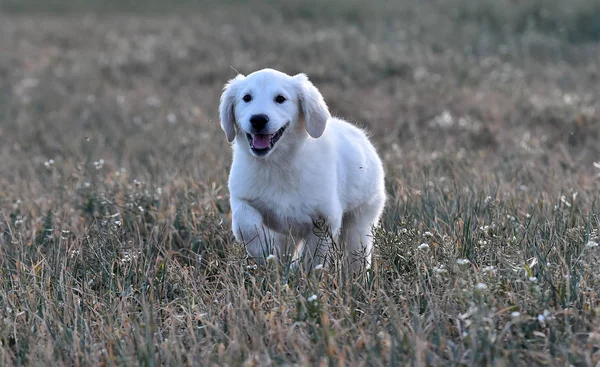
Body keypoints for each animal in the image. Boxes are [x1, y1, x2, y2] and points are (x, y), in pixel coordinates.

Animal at [219, 68, 384, 274]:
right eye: (246, 98)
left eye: (280, 98)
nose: (258, 119)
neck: (277, 163)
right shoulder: (242, 197)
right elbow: (246, 224)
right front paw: (264, 252)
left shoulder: (324, 219)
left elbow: (315, 256)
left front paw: (309, 277)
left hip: (361, 219)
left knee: (357, 254)